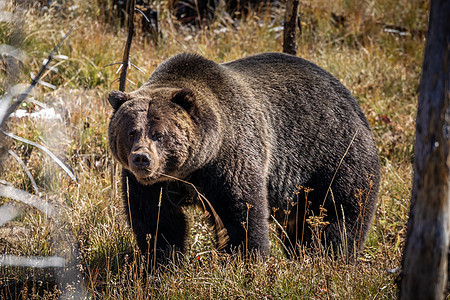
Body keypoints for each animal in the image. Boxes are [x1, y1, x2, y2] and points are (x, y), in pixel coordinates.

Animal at [108, 52, 380, 264]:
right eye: (131, 132)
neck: (190, 171)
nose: (142, 159)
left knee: (340, 215)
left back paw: (333, 257)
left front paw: (245, 261)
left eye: (159, 134)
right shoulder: (151, 184)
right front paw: (160, 262)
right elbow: (156, 221)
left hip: (333, 155)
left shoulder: (230, 160)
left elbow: (243, 213)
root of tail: (351, 99)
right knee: (301, 228)